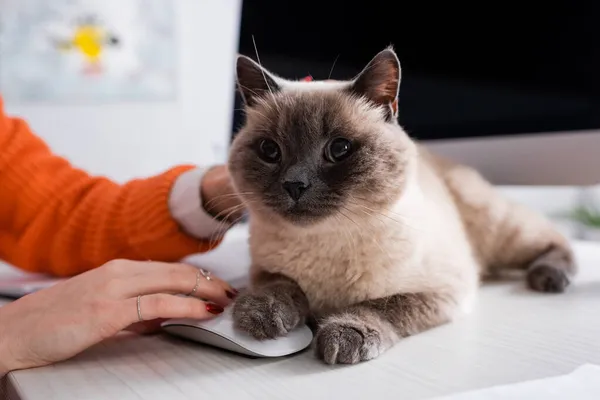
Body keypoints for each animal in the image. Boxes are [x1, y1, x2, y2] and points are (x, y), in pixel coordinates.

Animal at [226, 47, 576, 366]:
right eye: (269, 151)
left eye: (339, 149)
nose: (294, 185)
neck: (325, 244)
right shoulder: (263, 269)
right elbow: (281, 285)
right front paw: (259, 314)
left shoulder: (442, 290)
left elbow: (381, 306)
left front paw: (344, 335)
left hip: (497, 231)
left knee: (556, 239)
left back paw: (550, 278)